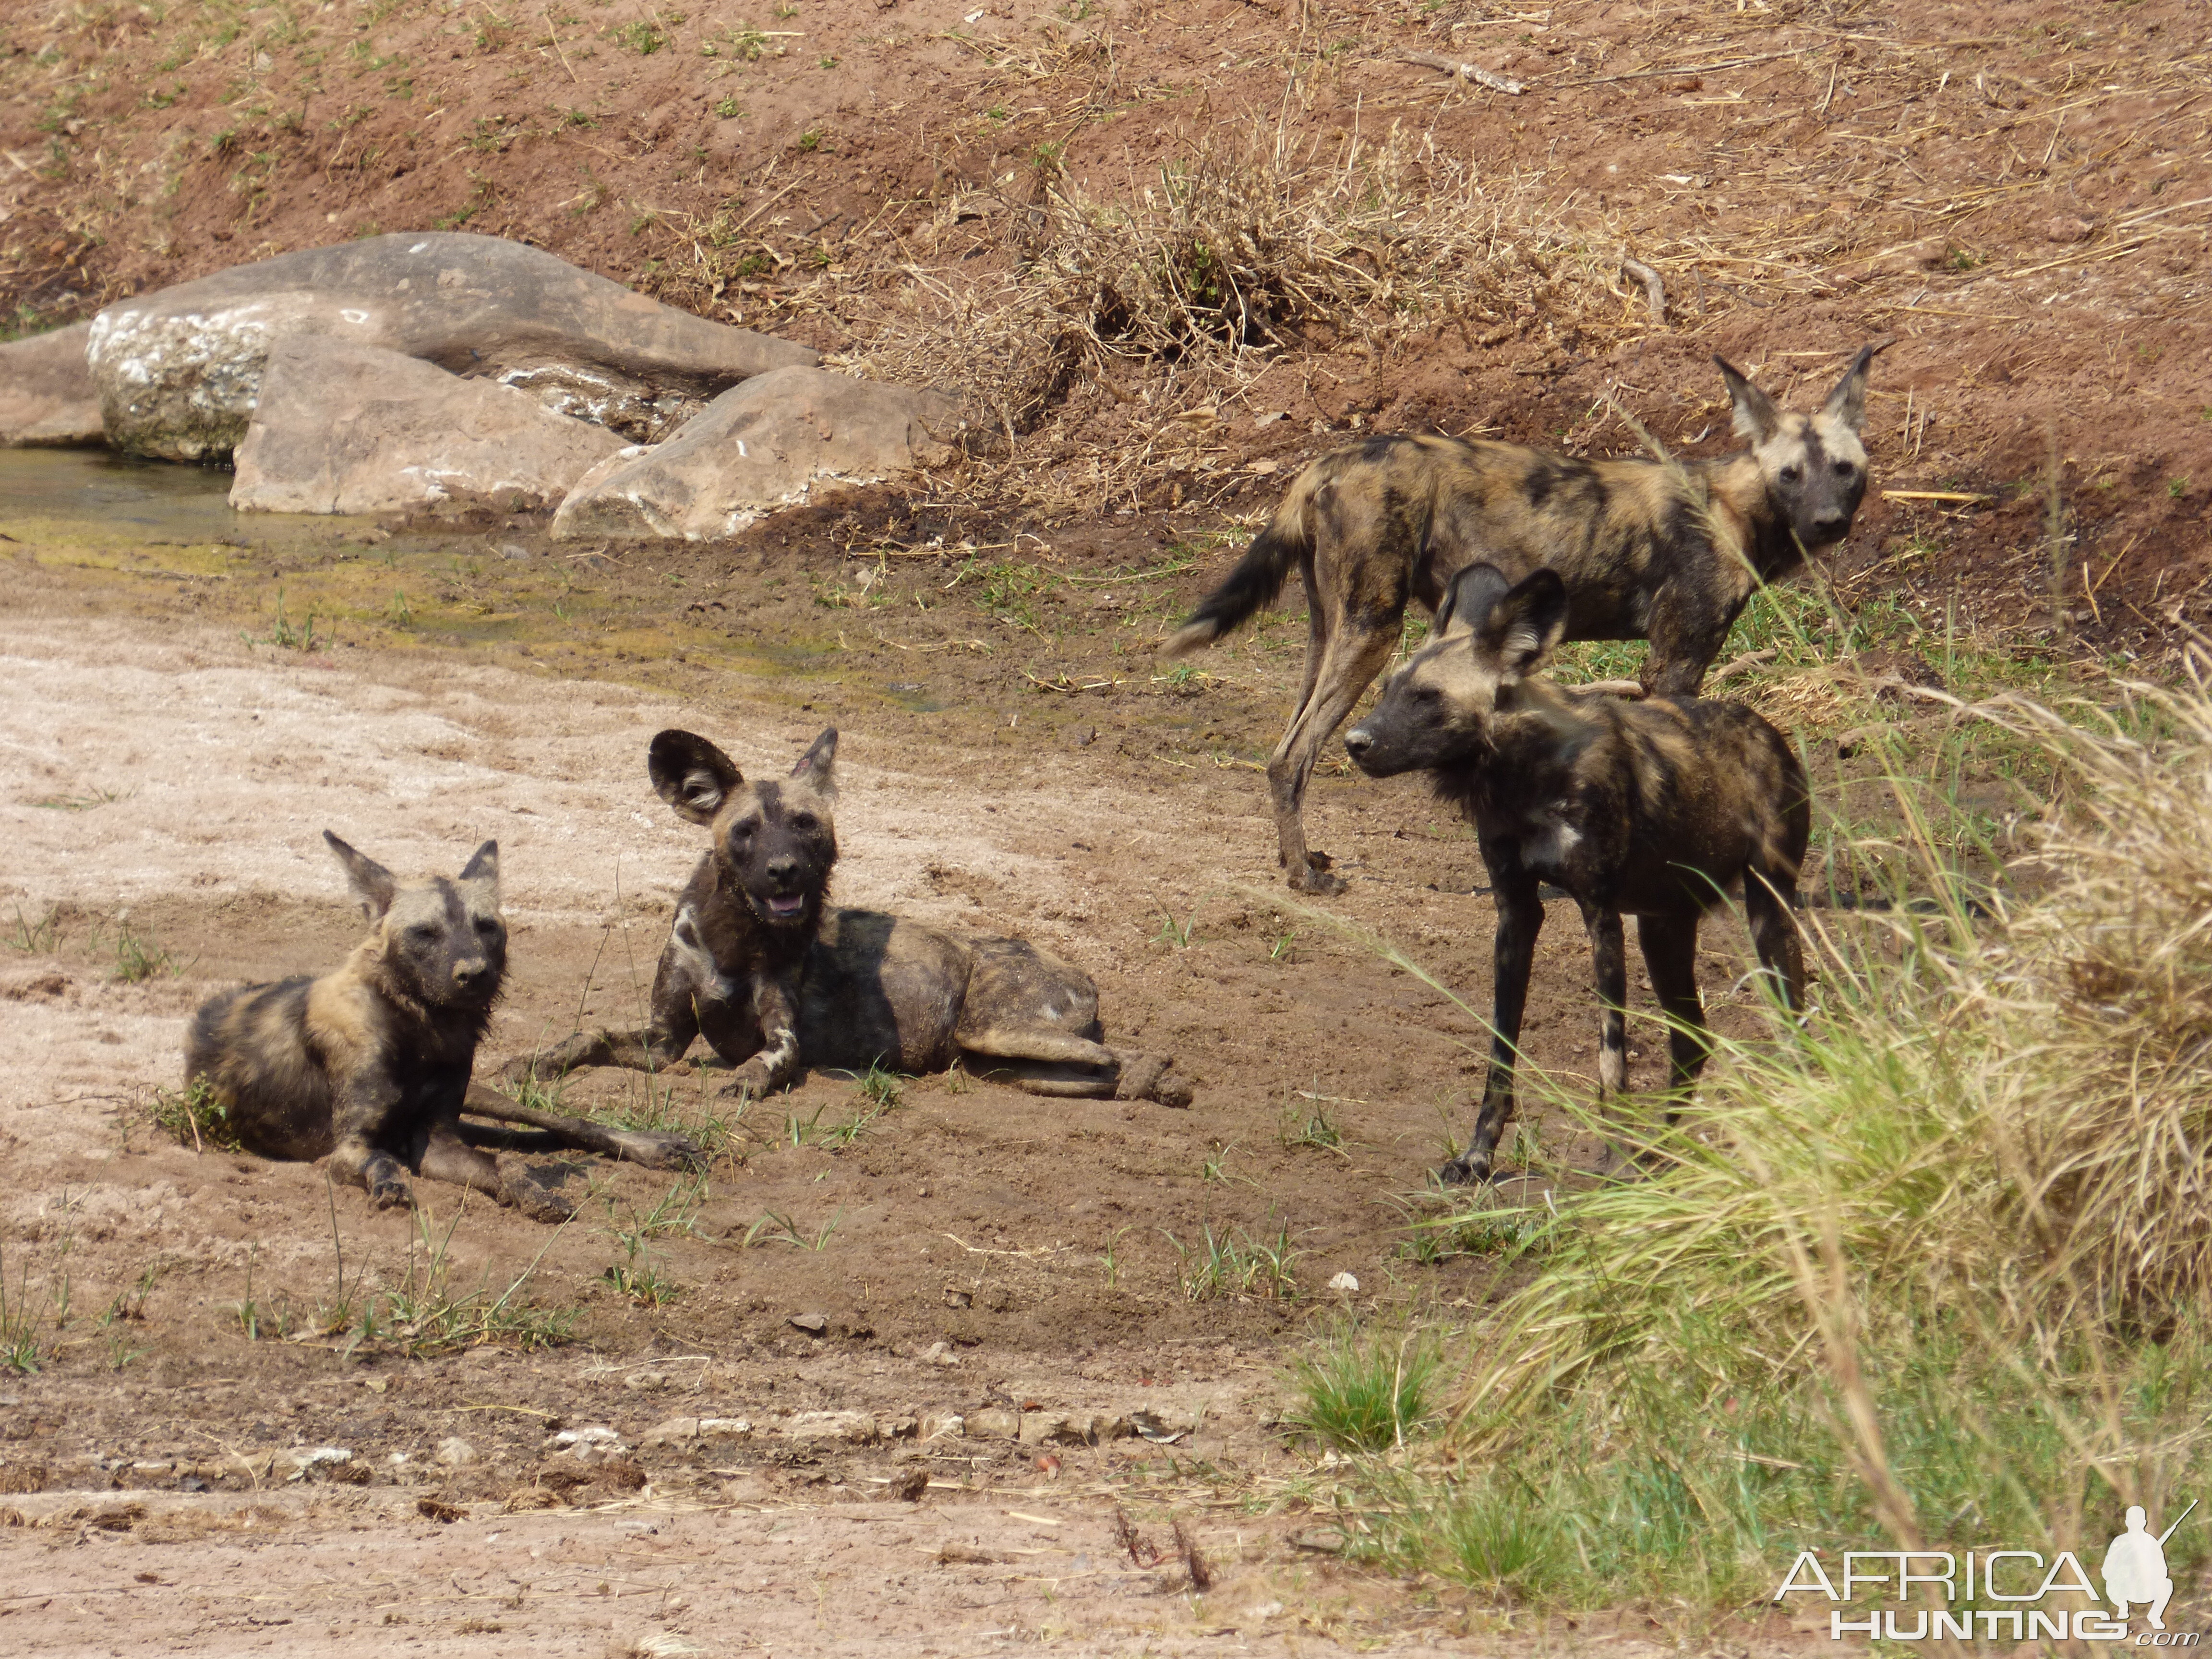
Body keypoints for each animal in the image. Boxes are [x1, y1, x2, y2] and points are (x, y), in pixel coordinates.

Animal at [192, 836, 708, 1230]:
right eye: (426, 933)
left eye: (487, 927)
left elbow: (505, 1163)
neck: (423, 1031)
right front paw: (391, 1187)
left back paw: (653, 1147)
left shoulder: (438, 1141)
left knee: (560, 1127)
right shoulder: (349, 1149)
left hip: (484, 1097)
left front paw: (531, 1193)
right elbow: (385, 1159)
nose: (475, 974)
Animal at [506, 725, 1194, 1106]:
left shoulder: (783, 1040)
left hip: (996, 1031)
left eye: (807, 826)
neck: (735, 939)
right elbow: (587, 1035)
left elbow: (763, 1063)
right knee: (1098, 1069)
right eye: (747, 832)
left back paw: (1159, 1082)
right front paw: (530, 1064)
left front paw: (745, 1084)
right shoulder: (662, 1040)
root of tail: (1076, 968)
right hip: (1002, 1062)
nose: (785, 871)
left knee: (1121, 1057)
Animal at [1336, 566, 1805, 1185]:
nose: (1355, 743)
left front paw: (1611, 1164)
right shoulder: (1517, 915)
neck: (1523, 781)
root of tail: (1768, 729)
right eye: (1390, 689)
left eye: (1427, 697)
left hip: (1769, 913)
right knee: (1694, 1040)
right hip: (1663, 930)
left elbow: (1611, 1063)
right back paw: (1663, 1155)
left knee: (1792, 1025)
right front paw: (1477, 1156)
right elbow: (1501, 1055)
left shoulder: (1600, 914)